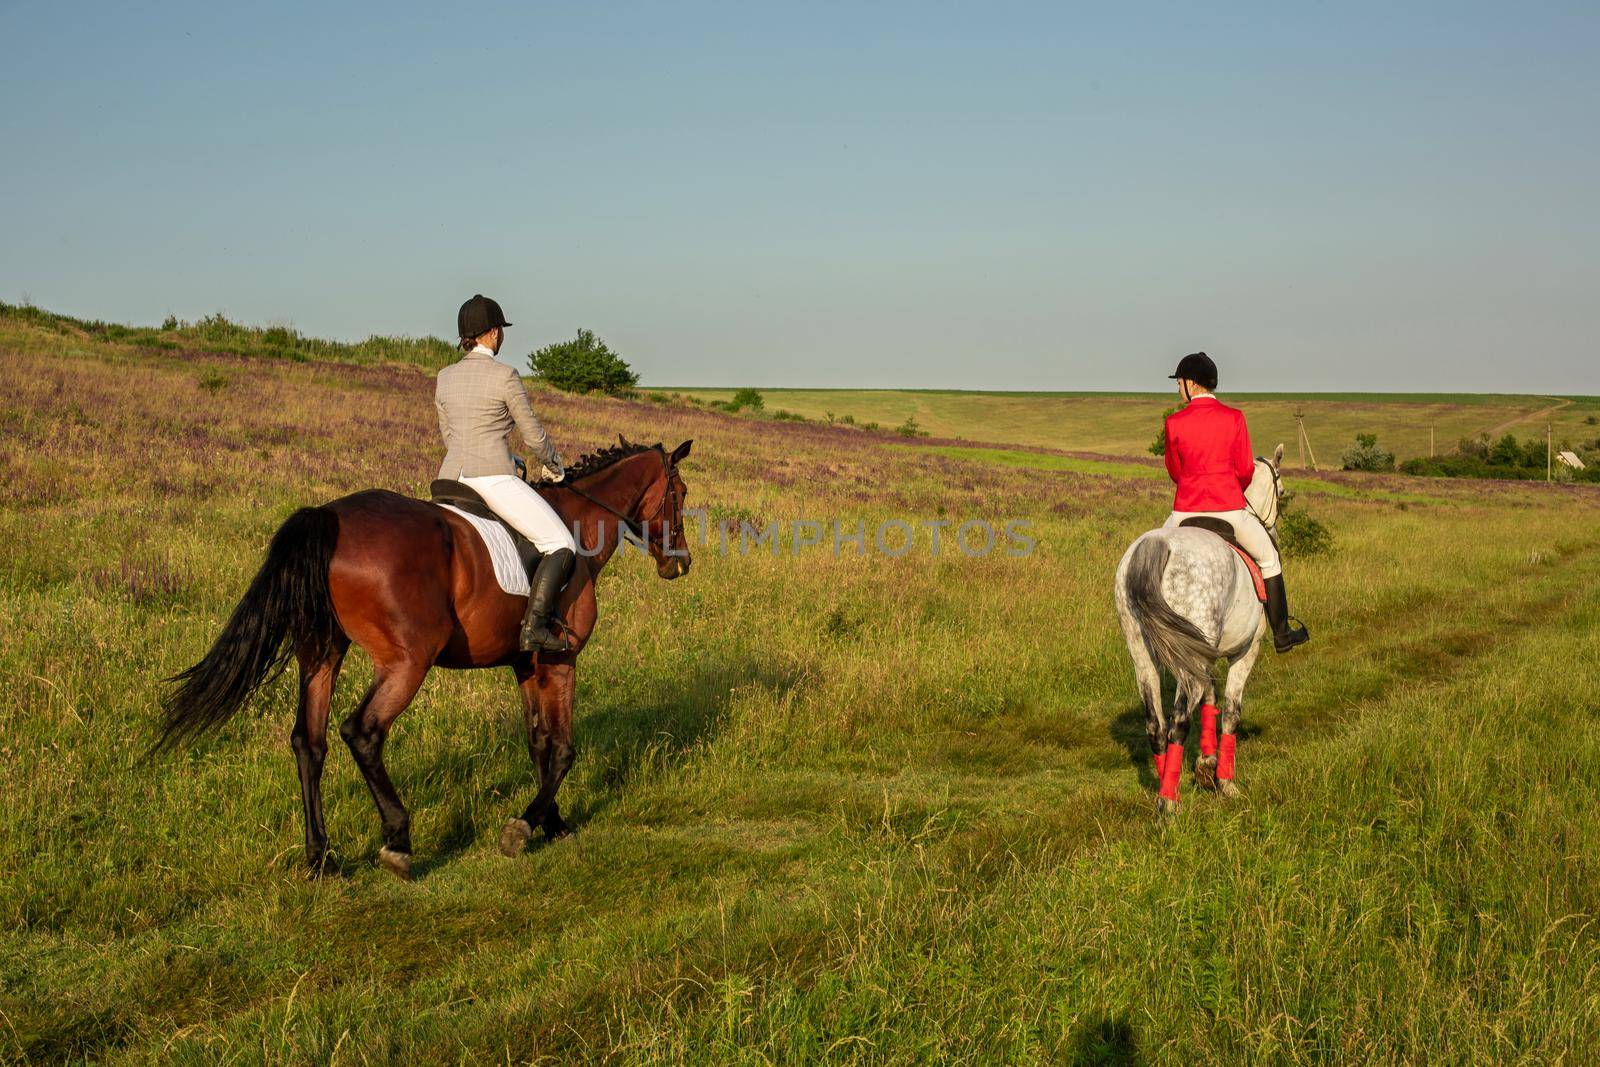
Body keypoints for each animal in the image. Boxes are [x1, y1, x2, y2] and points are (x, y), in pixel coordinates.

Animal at [154, 438, 694, 883]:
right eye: (681, 492)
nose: (681, 563)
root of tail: (330, 516)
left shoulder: (527, 664)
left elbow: (538, 743)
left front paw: (551, 821)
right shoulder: (561, 661)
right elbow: (561, 749)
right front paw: (527, 826)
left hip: (323, 653)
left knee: (309, 742)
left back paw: (321, 858)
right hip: (407, 662)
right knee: (362, 731)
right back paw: (398, 840)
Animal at [1113, 441, 1286, 819]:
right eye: (1282, 491)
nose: (1273, 527)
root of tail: (1157, 544)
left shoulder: (1203, 653)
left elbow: (1210, 702)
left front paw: (1205, 766)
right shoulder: (1245, 652)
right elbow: (1231, 711)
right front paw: (1225, 781)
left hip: (1143, 651)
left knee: (1156, 723)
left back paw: (1165, 785)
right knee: (1178, 721)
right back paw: (1169, 805)